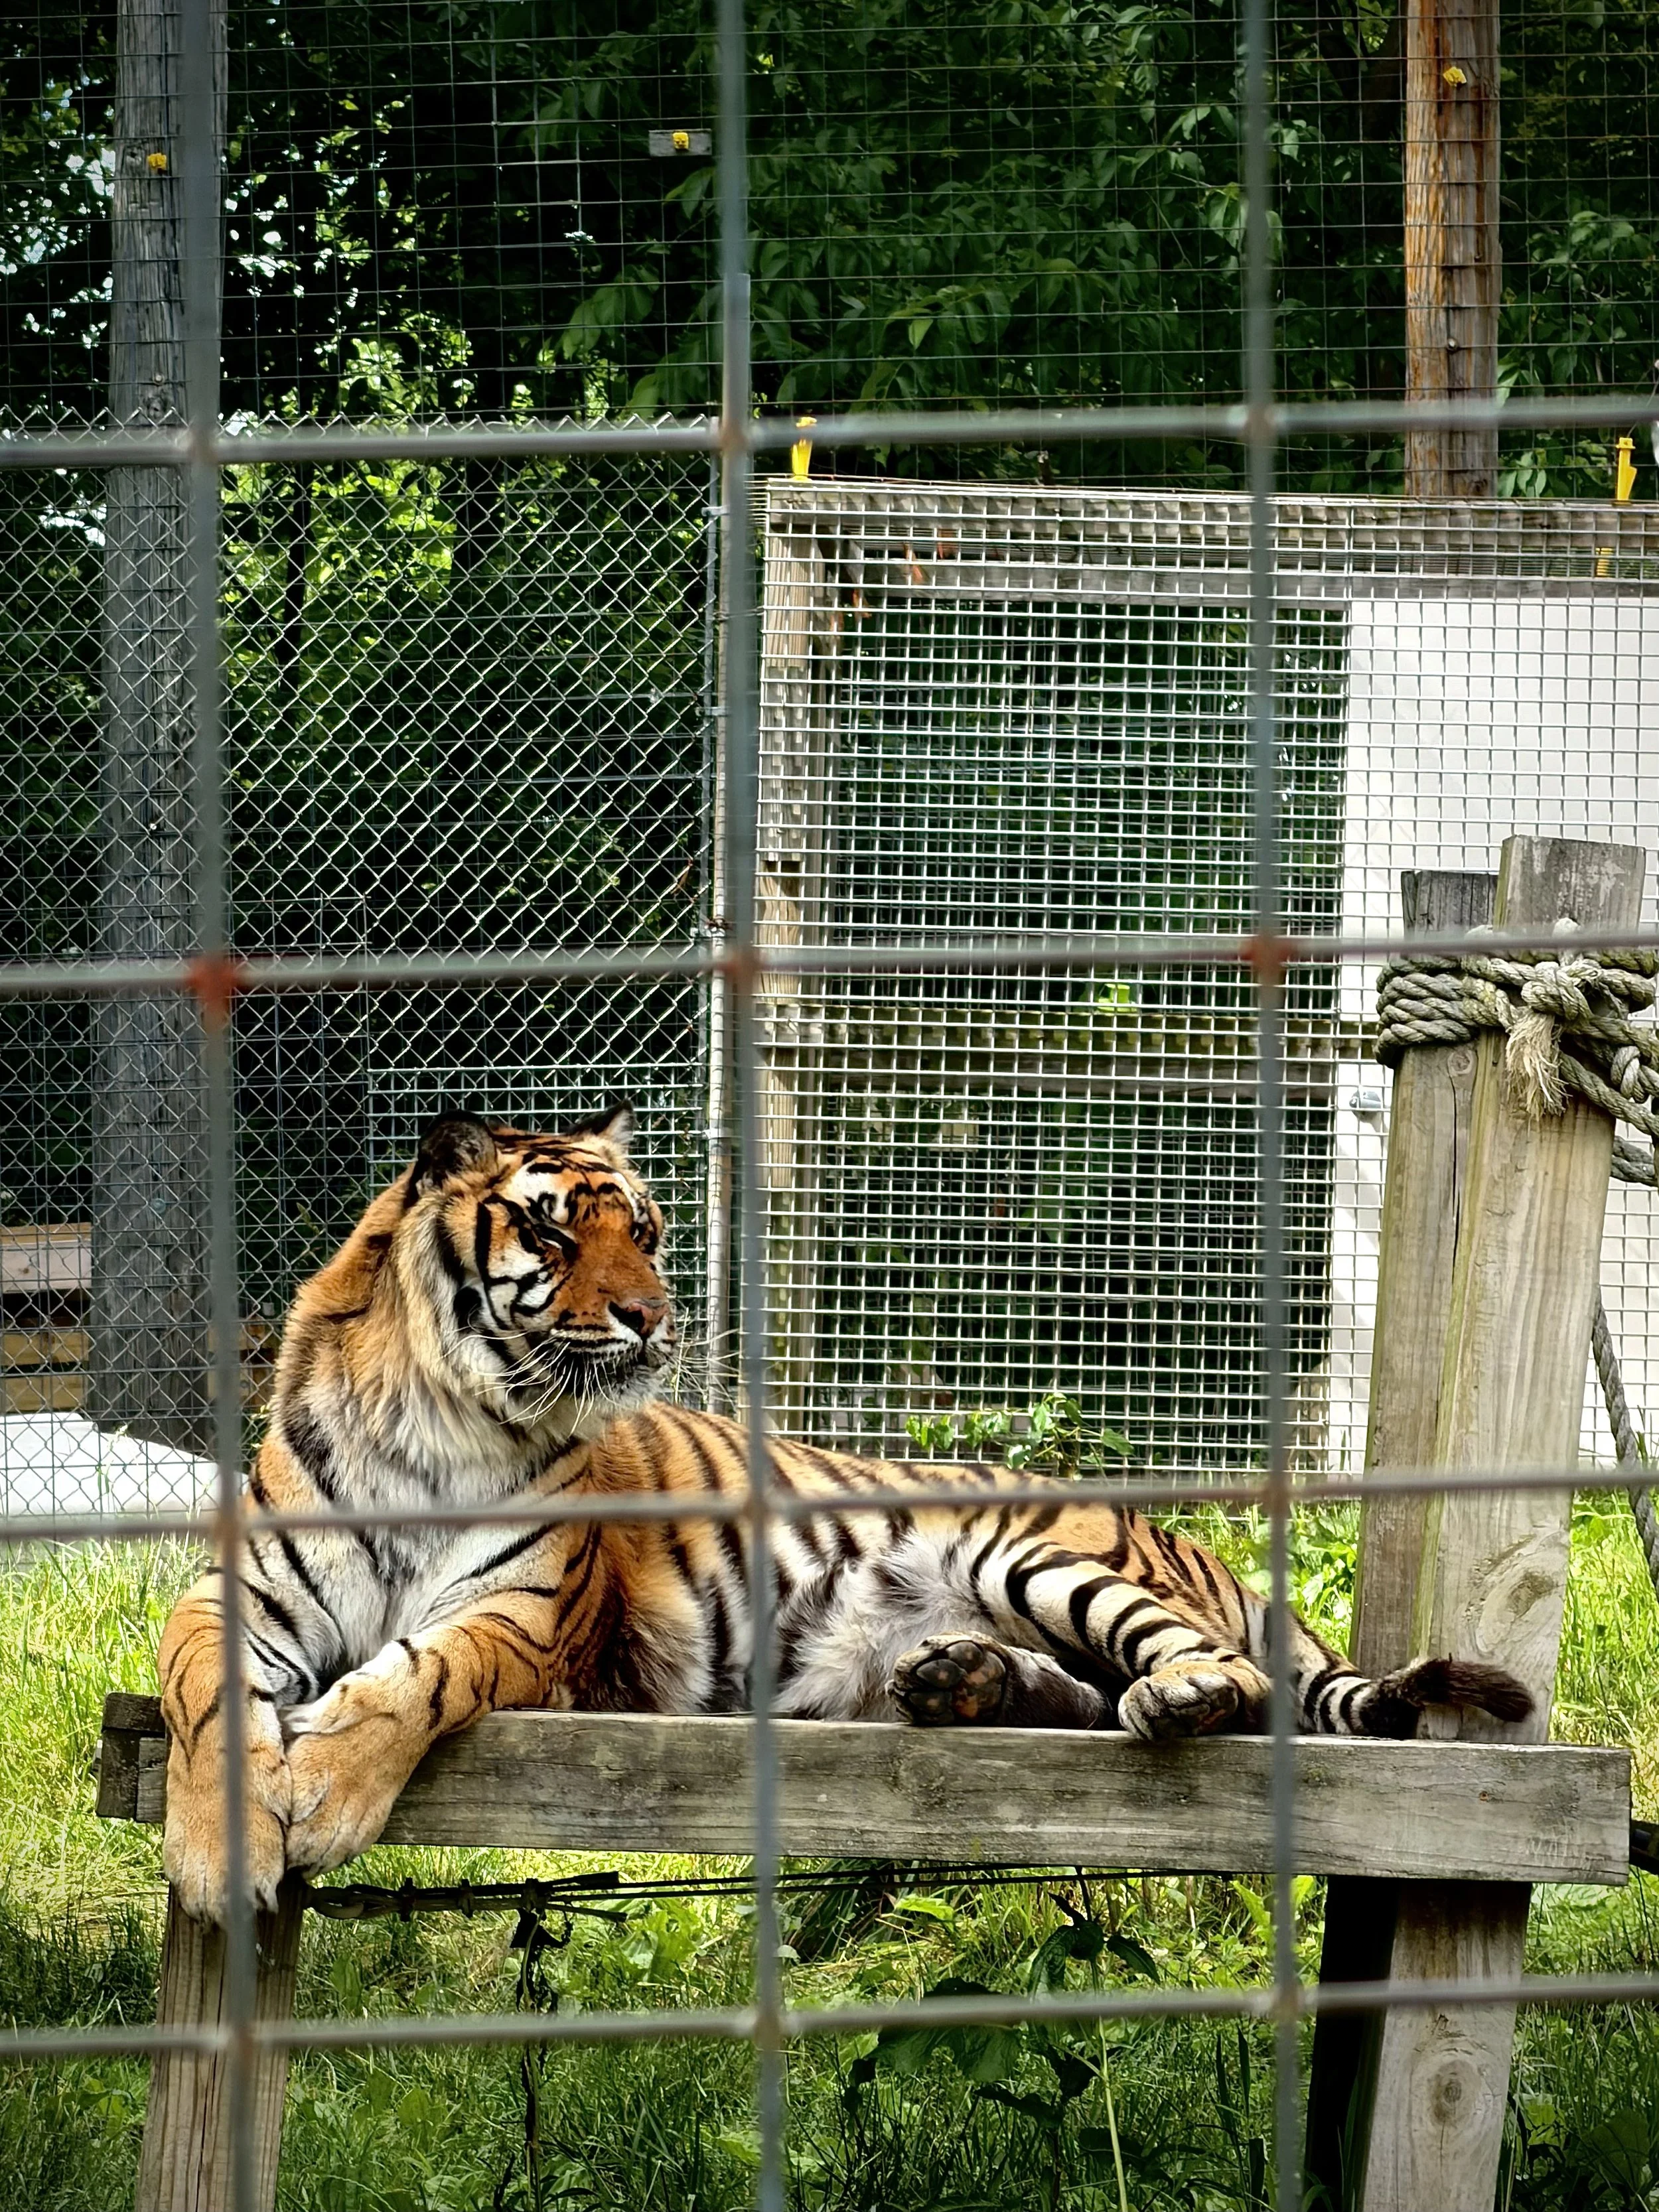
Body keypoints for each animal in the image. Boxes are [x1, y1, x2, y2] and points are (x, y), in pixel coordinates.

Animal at [159, 1108, 1533, 1924]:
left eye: (645, 1228)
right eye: (552, 1228)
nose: (654, 1315)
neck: (437, 1419)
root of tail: (1188, 1539)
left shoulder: (525, 1613)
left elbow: (415, 1676)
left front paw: (325, 1790)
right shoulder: (232, 1593)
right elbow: (205, 1693)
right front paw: (223, 1856)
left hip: (1039, 1552)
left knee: (1211, 1677)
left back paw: (1164, 1694)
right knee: (1084, 1694)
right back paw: (963, 1680)